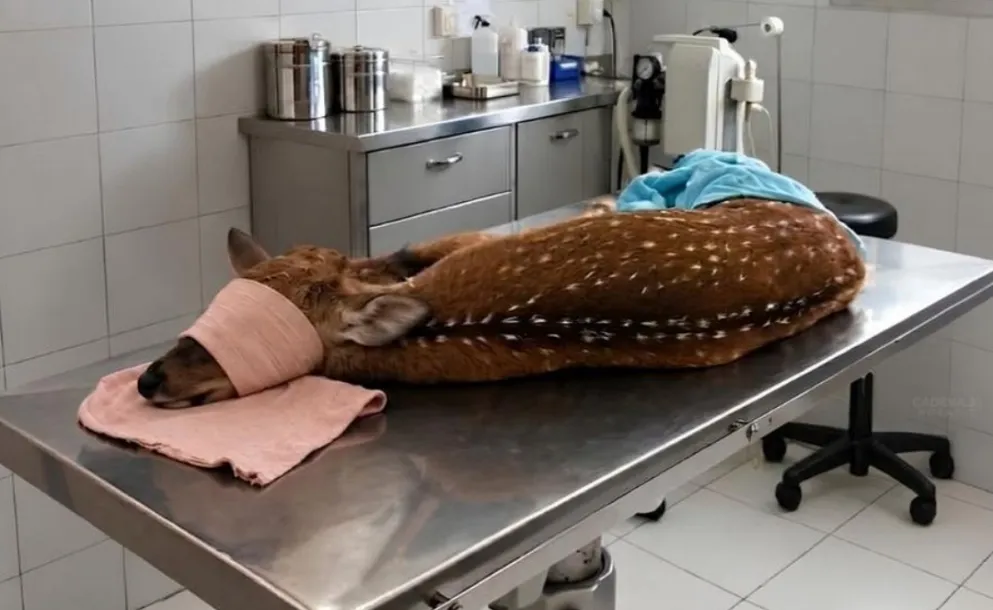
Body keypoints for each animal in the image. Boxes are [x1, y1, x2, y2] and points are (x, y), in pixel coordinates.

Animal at [137, 198, 866, 408]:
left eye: (242, 339)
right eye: (208, 314)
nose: (149, 379)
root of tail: (848, 248)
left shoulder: (466, 245)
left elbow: (420, 248)